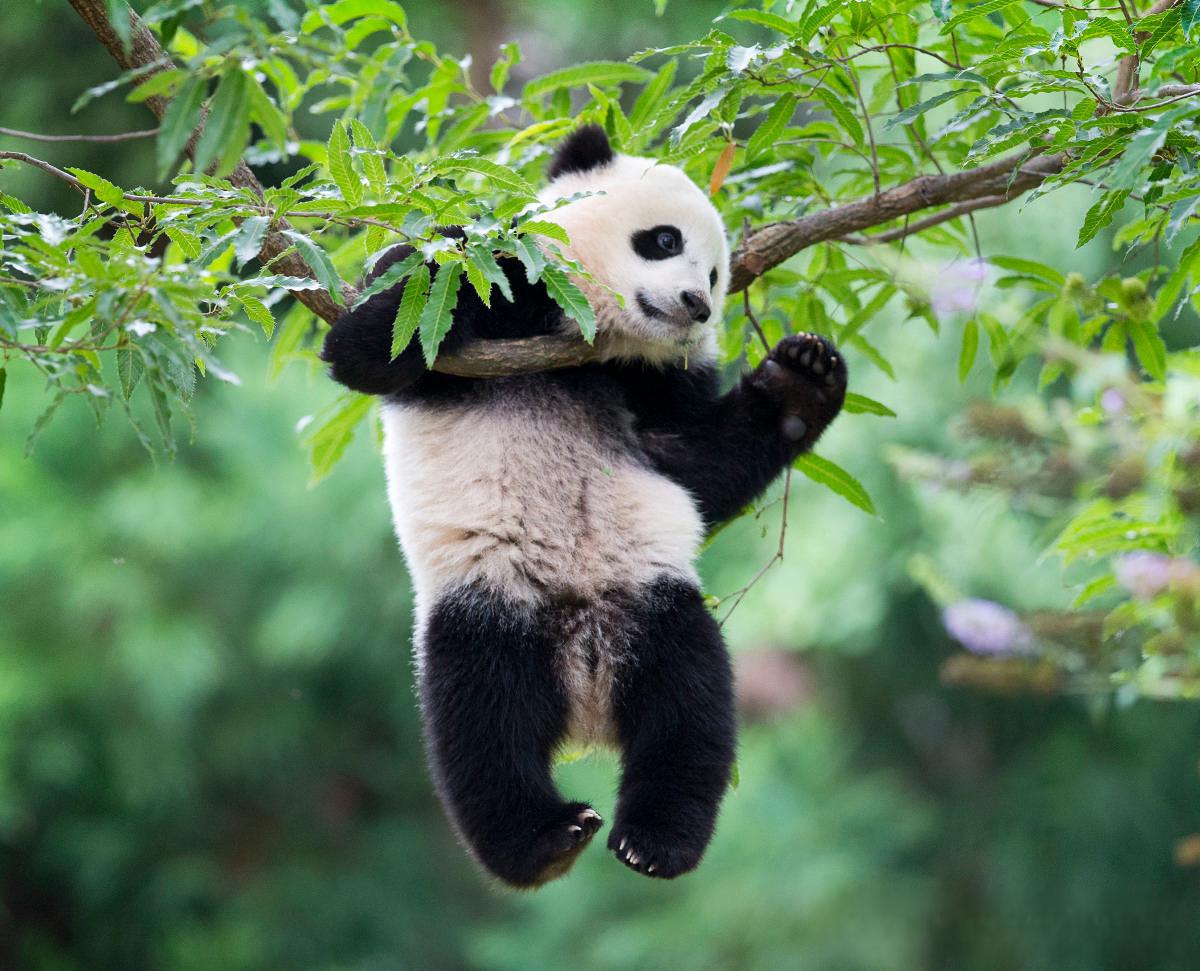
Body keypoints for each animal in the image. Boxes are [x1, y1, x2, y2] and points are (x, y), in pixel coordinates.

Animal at [316, 126, 844, 888]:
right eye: (663, 240)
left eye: (719, 275)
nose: (696, 303)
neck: (597, 342)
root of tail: (585, 696)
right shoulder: (485, 296)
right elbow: (383, 338)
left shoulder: (654, 383)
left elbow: (696, 467)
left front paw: (803, 380)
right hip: (490, 606)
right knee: (482, 722)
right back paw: (542, 841)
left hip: (650, 603)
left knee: (691, 708)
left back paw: (655, 840)